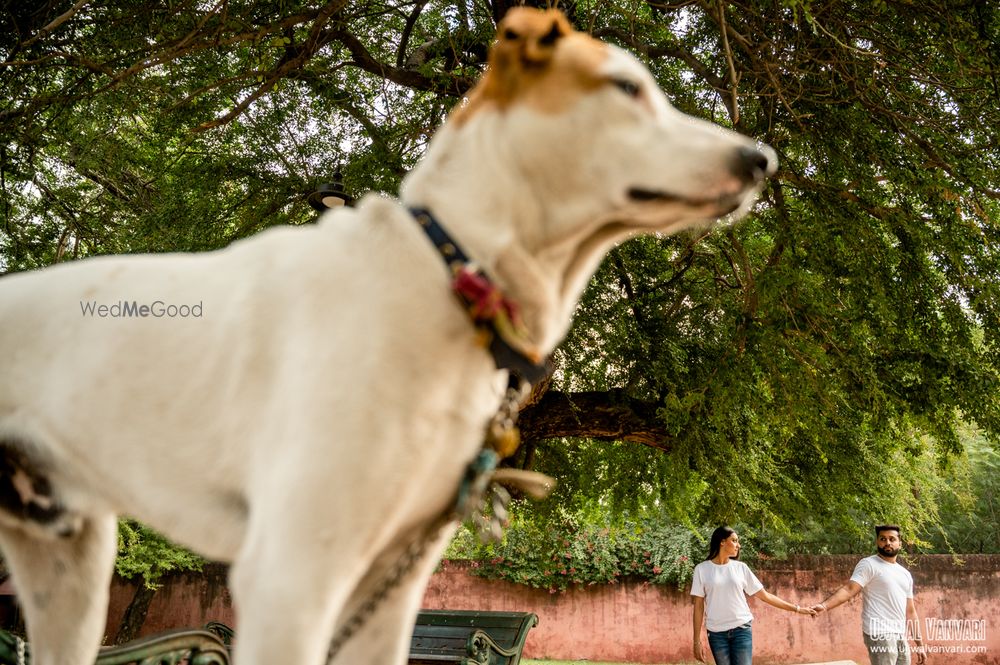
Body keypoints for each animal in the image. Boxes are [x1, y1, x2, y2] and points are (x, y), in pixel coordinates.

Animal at [0, 9, 772, 664]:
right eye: (626, 87)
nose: (762, 158)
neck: (451, 272)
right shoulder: (291, 578)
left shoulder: (390, 591)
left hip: (71, 565)